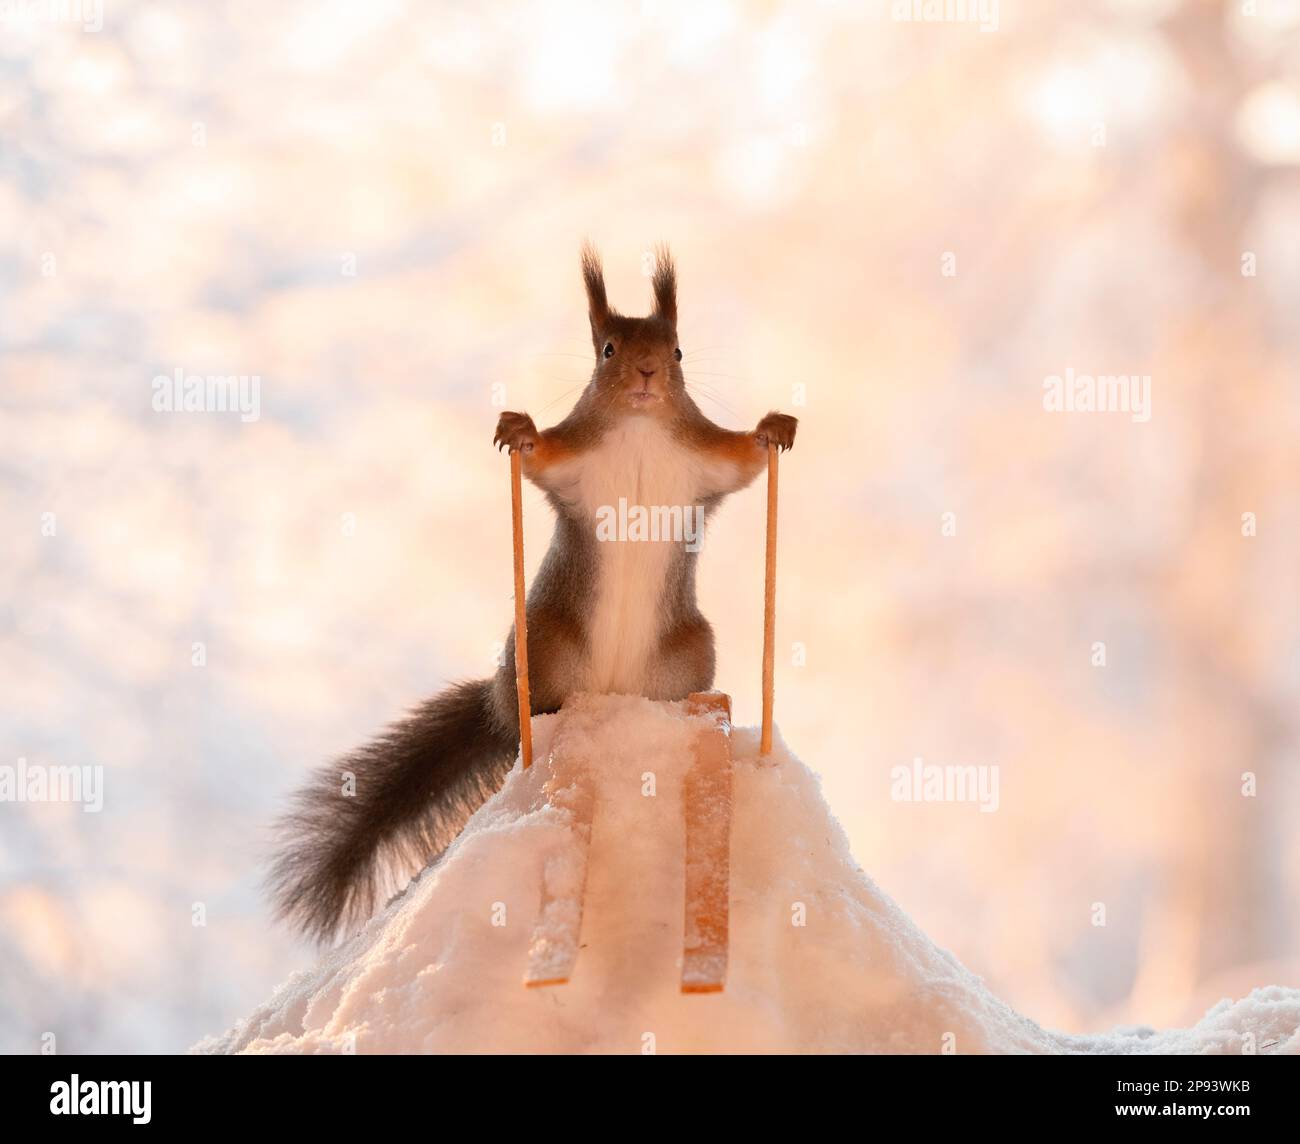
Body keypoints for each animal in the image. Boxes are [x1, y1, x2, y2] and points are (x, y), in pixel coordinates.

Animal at [269, 244, 797, 943]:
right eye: (607, 349)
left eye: (679, 351)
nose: (648, 373)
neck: (639, 426)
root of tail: (610, 692)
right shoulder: (571, 460)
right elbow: (540, 453)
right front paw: (515, 426)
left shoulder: (705, 460)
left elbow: (746, 459)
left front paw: (775, 427)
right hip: (544, 640)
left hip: (687, 651)